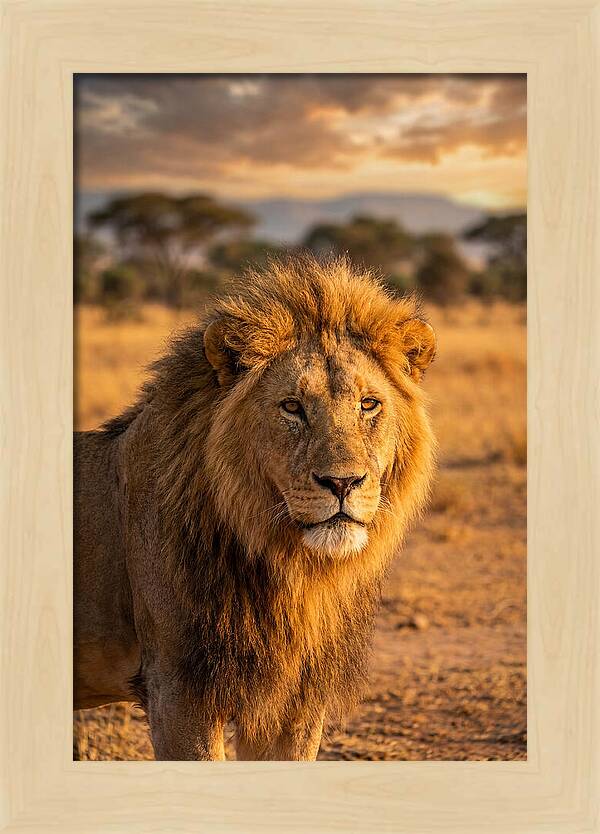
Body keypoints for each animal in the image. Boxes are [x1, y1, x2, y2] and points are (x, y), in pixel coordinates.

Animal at [74, 255, 436, 760]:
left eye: (369, 404)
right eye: (292, 407)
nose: (342, 483)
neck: (291, 569)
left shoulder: (295, 701)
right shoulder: (178, 690)